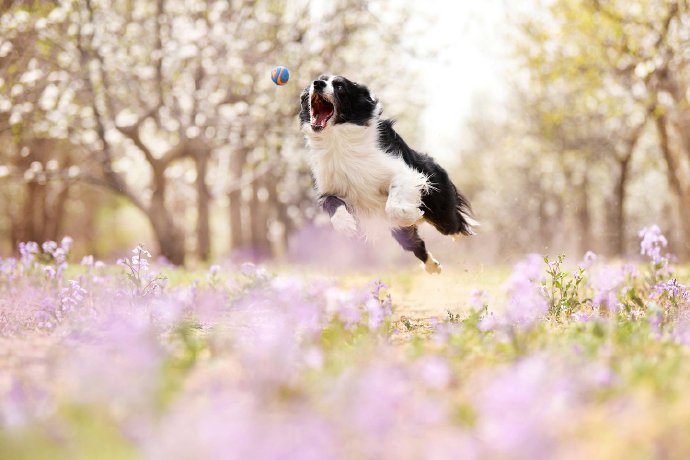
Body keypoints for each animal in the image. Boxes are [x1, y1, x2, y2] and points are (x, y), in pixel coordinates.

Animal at [298, 73, 476, 272]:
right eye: (316, 81)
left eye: (340, 86)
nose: (317, 84)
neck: (337, 138)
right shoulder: (328, 185)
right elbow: (331, 201)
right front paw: (346, 225)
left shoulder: (402, 172)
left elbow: (394, 207)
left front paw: (412, 214)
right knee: (415, 245)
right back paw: (433, 267)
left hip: (440, 209)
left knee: (454, 225)